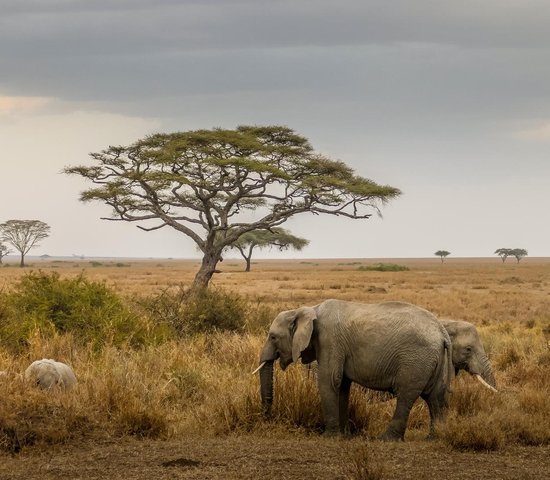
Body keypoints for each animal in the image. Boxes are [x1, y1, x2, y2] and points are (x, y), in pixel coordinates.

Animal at [256, 300, 454, 442]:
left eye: (273, 337)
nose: (265, 416)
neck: (308, 309)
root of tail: (442, 333)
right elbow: (343, 386)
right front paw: (344, 435)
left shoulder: (329, 340)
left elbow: (330, 381)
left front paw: (329, 436)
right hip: (435, 359)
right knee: (435, 397)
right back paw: (434, 438)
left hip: (415, 360)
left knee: (406, 395)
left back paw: (386, 439)